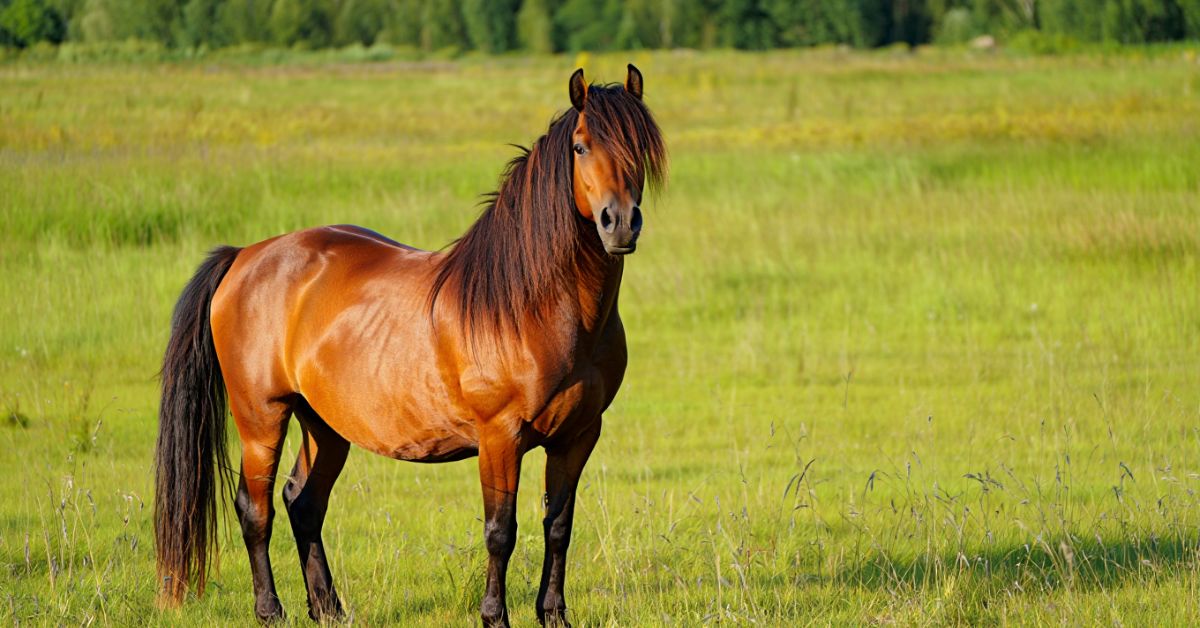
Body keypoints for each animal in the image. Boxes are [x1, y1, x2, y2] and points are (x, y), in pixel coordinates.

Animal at [153, 64, 666, 627]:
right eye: (580, 145)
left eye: (641, 145)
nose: (620, 222)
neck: (536, 306)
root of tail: (245, 255)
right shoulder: (500, 436)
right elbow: (500, 531)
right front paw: (494, 615)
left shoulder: (578, 435)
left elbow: (558, 526)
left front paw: (553, 614)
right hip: (262, 417)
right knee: (256, 508)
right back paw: (271, 609)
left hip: (324, 424)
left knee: (303, 502)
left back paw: (329, 607)